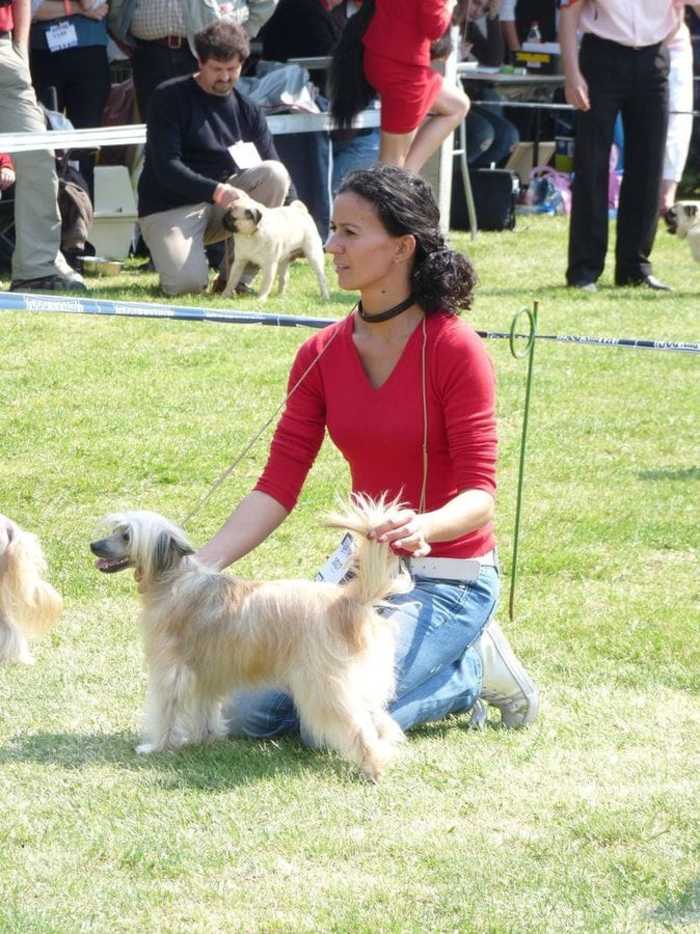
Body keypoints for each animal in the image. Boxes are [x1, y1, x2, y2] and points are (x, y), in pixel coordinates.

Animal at [90, 496, 412, 781]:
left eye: (126, 536)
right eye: (115, 530)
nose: (93, 546)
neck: (173, 579)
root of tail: (347, 600)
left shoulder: (171, 673)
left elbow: (165, 714)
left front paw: (157, 746)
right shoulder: (205, 674)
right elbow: (204, 710)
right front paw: (204, 739)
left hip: (325, 688)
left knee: (359, 728)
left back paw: (374, 767)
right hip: (355, 683)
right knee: (379, 719)